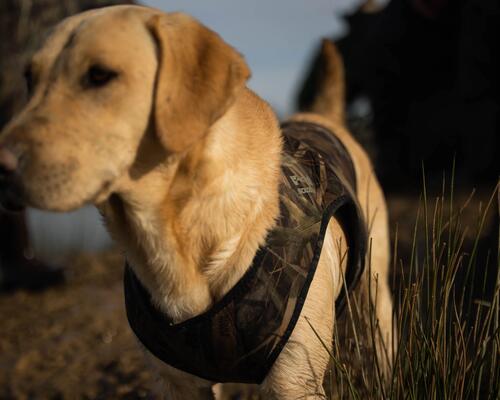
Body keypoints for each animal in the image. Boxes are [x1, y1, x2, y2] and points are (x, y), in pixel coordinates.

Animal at [0, 4, 392, 398]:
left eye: (100, 75)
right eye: (29, 79)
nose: (0, 165)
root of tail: (320, 115)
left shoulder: (294, 379)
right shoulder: (174, 381)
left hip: (375, 295)